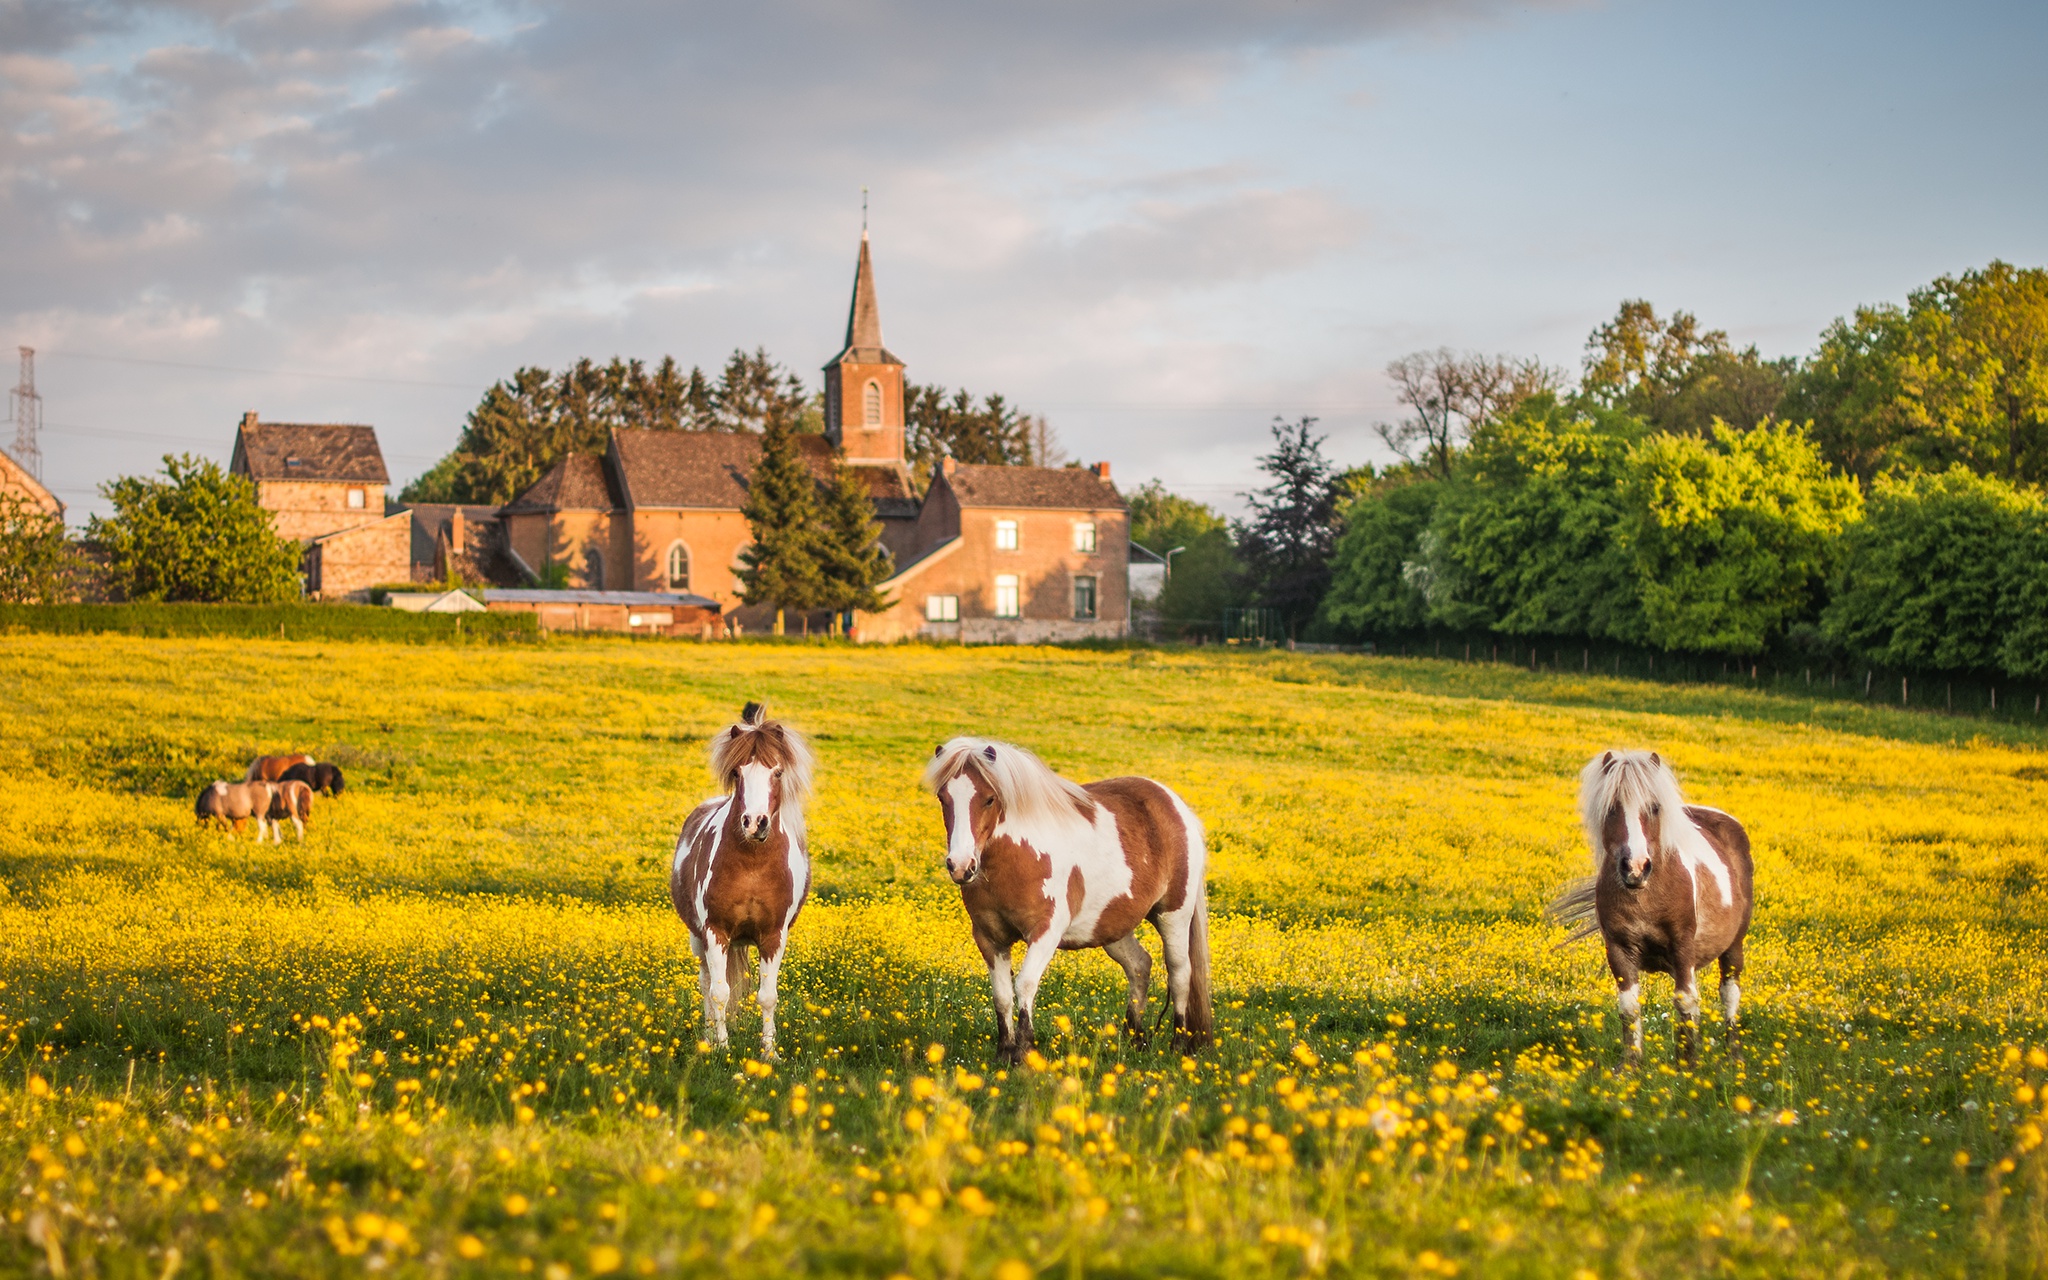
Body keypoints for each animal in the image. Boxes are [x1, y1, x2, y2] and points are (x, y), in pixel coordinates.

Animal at [667, 704, 811, 1056]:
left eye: (777, 772)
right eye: (737, 773)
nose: (755, 822)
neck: (752, 865)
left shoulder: (774, 936)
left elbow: (767, 997)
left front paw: (770, 1053)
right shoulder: (715, 932)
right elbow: (719, 993)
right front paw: (721, 1047)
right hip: (698, 938)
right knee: (706, 984)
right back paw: (707, 1038)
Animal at [921, 733, 1204, 1064]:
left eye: (989, 799)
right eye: (943, 798)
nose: (961, 865)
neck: (1019, 856)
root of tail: (1174, 804)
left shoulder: (1045, 932)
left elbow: (1025, 983)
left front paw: (1023, 1052)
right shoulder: (989, 938)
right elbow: (1001, 995)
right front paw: (1004, 1052)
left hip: (1174, 915)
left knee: (1179, 972)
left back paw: (1178, 1045)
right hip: (1111, 926)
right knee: (1139, 966)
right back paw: (1135, 1040)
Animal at [1540, 749, 1753, 1064]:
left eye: (1653, 807)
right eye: (1611, 808)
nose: (1636, 868)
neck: (1645, 894)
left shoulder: (1683, 945)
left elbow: (1685, 1001)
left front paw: (1686, 1065)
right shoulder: (1618, 949)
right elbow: (1630, 1007)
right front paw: (1631, 1065)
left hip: (1734, 945)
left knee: (1729, 993)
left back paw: (1735, 1056)